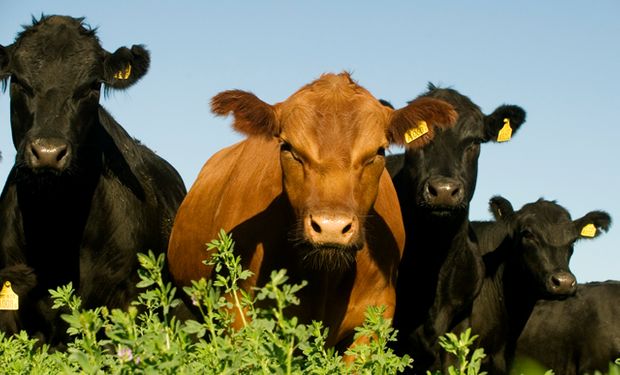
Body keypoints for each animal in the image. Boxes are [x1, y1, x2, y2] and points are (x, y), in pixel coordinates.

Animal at [167, 72, 458, 352]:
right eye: (289, 148)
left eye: (378, 151)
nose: (331, 226)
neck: (324, 277)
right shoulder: (239, 312)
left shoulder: (375, 318)